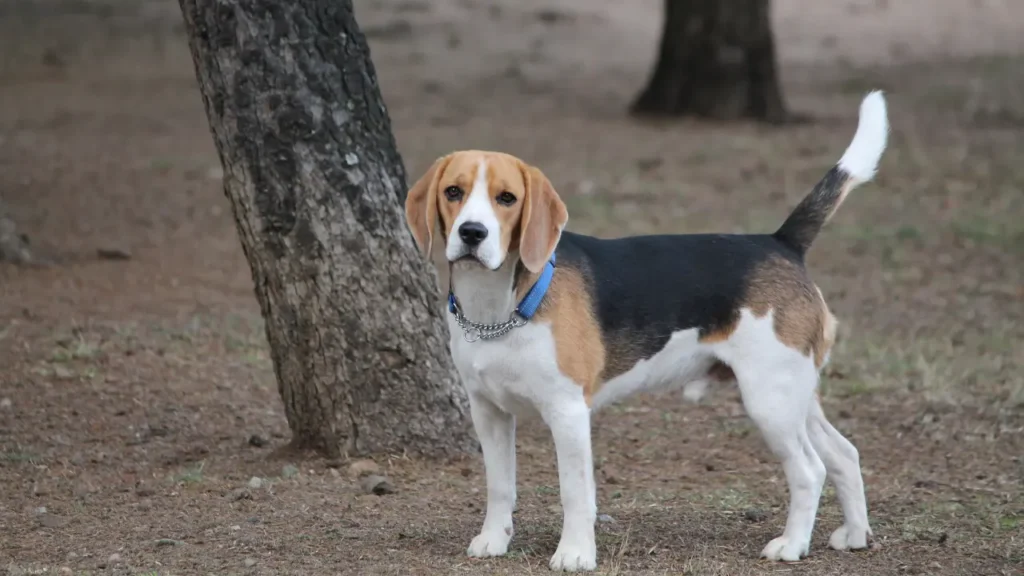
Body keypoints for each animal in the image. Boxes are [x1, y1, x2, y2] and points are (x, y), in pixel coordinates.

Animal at [403, 91, 884, 565]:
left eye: (507, 198)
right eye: (453, 192)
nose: (472, 233)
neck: (498, 307)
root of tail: (781, 242)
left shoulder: (568, 412)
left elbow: (575, 493)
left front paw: (575, 554)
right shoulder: (489, 411)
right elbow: (499, 485)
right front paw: (494, 540)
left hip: (770, 399)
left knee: (810, 469)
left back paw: (791, 545)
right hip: (795, 392)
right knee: (844, 454)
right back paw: (855, 534)